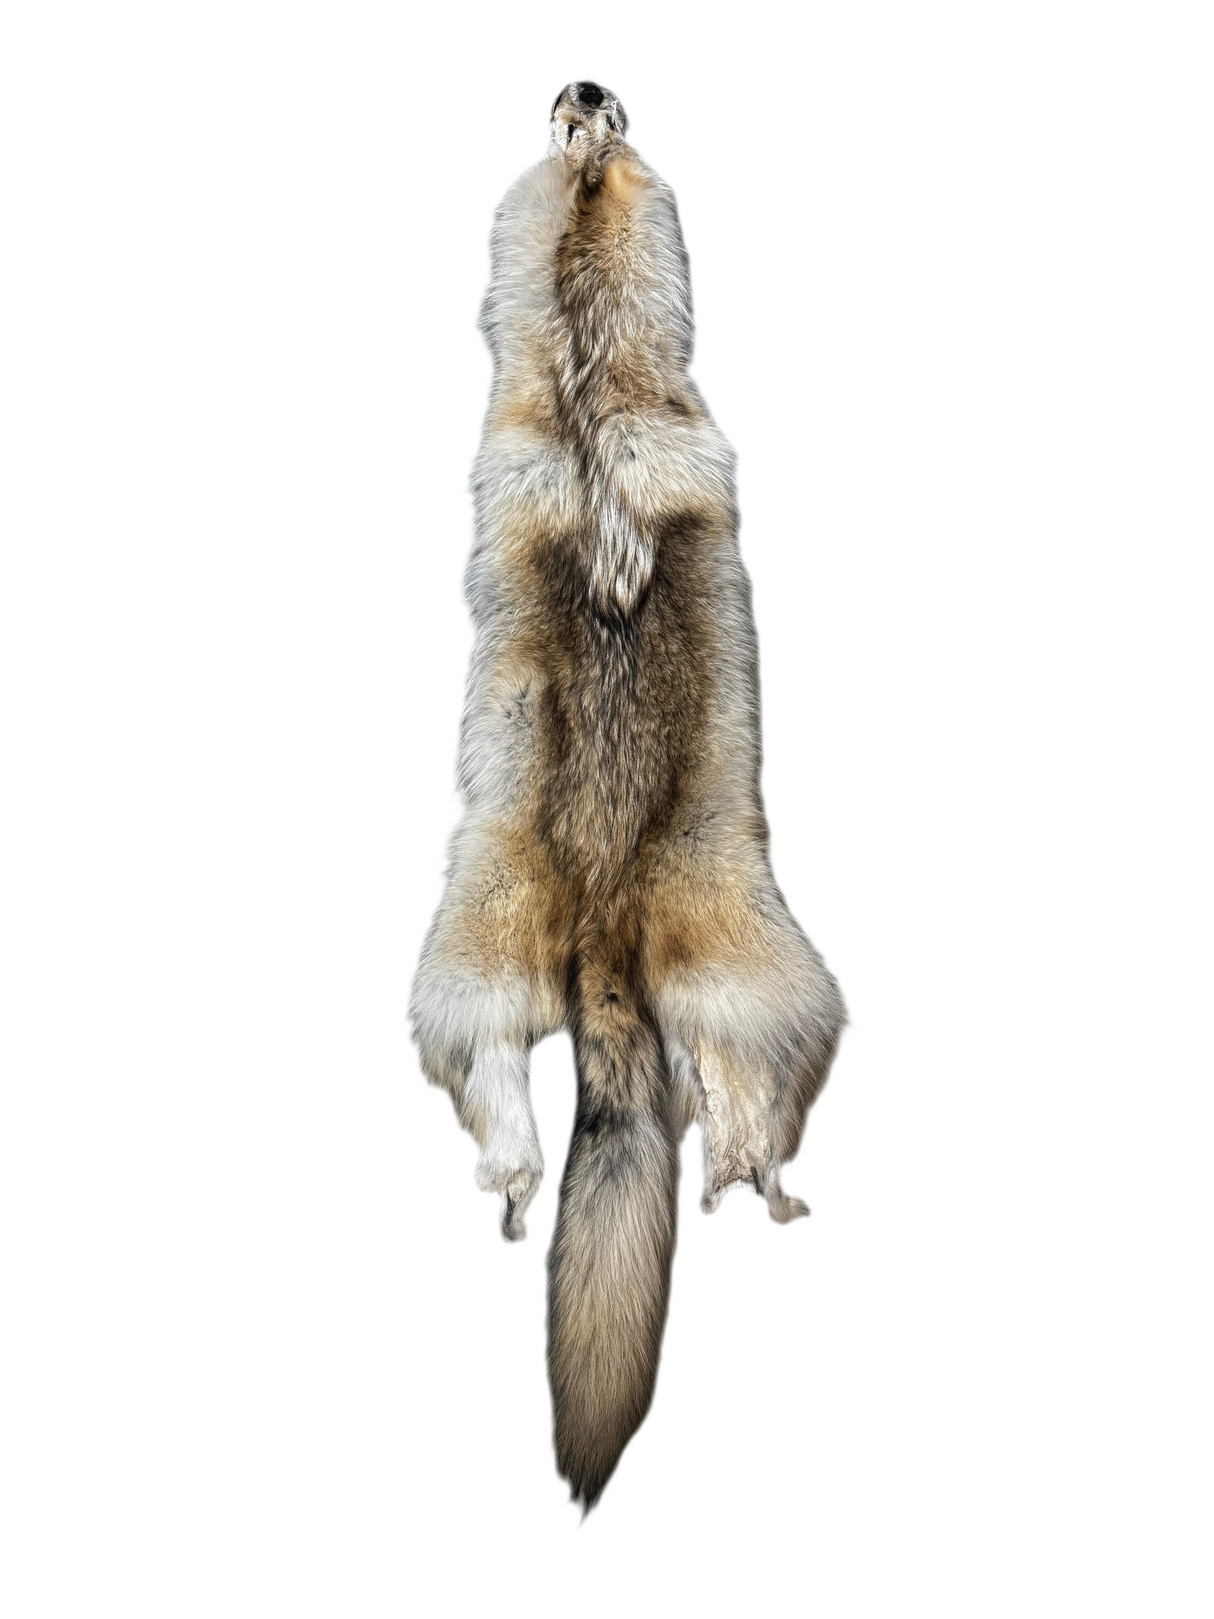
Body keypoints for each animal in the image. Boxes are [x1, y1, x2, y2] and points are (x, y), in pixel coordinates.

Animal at [410, 81, 846, 1509]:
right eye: (573, 130)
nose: (585, 87)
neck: (594, 389)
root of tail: (604, 925)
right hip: (764, 1002)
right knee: (734, 1119)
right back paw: (734, 1176)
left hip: (491, 987)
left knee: (536, 1115)